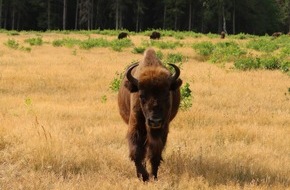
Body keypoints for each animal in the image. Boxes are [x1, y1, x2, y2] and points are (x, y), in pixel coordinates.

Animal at [117, 47, 181, 181]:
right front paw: (144, 176)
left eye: (166, 94)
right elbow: (136, 152)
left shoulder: (161, 129)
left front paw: (153, 176)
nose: (155, 121)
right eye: (141, 95)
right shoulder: (135, 125)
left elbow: (155, 152)